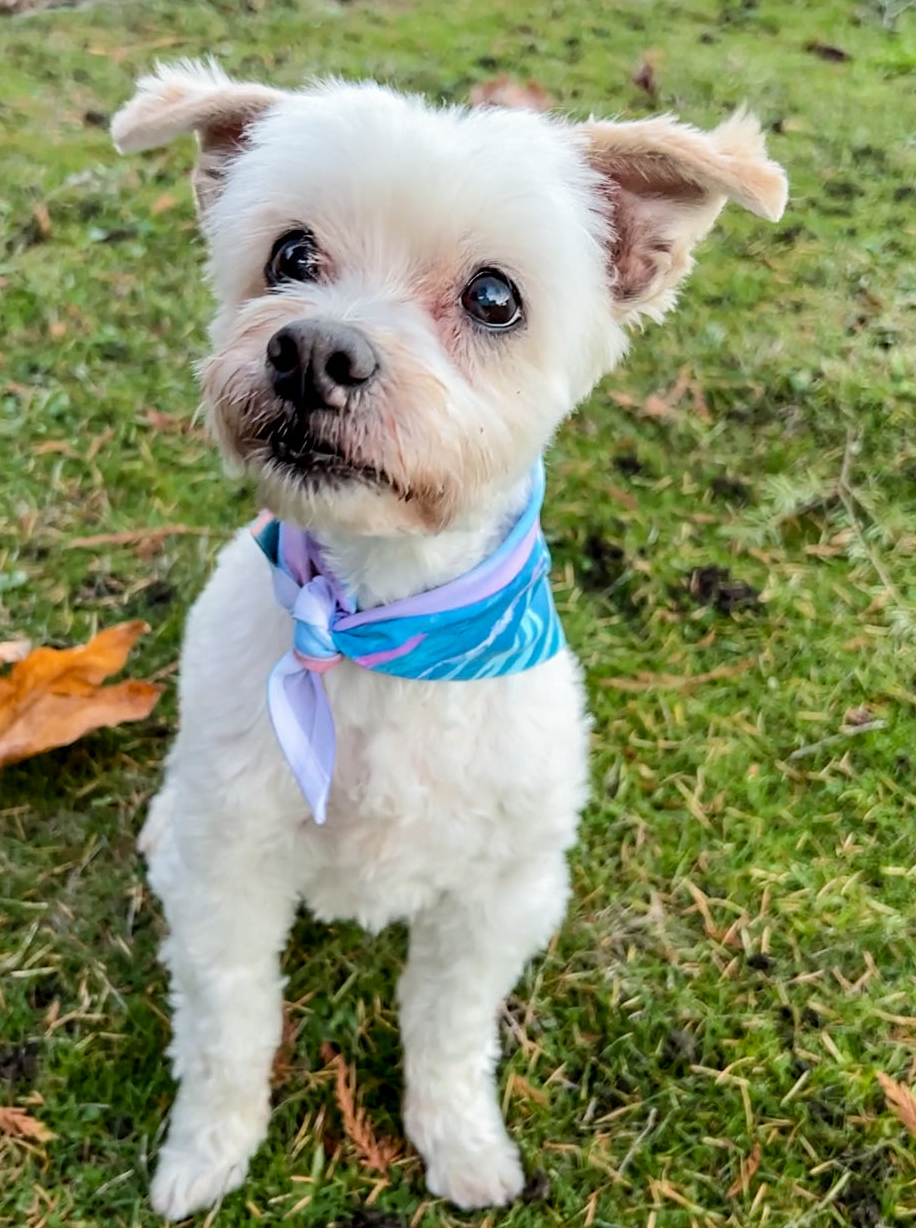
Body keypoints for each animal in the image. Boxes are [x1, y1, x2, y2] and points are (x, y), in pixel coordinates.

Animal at [110, 64, 785, 1218]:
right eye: (292, 255)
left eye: (494, 298)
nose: (314, 350)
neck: (380, 630)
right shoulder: (231, 881)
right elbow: (229, 1027)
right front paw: (206, 1152)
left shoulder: (494, 901)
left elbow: (449, 1028)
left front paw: (463, 1143)